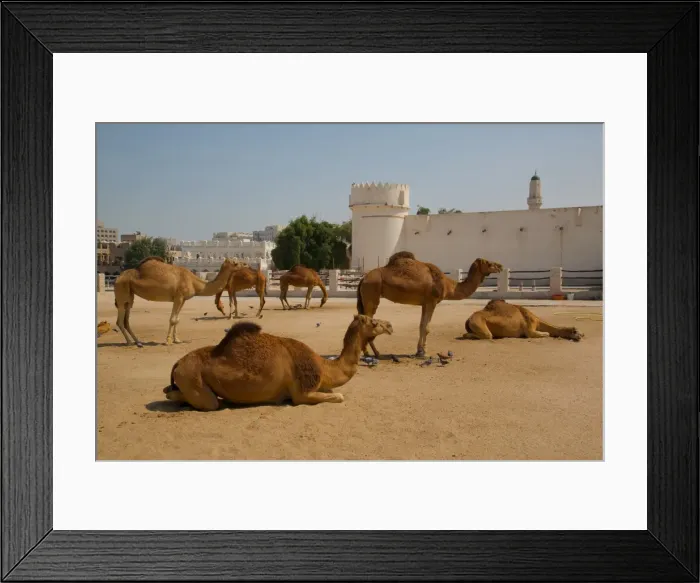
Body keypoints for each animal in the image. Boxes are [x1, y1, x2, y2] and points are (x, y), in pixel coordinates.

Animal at [114, 257, 244, 347]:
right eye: (236, 263)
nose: (245, 264)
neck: (194, 282)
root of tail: (117, 278)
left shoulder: (183, 299)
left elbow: (177, 319)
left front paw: (177, 339)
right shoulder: (178, 297)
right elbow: (172, 319)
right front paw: (168, 341)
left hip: (130, 297)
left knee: (126, 319)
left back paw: (138, 341)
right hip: (121, 292)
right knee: (120, 320)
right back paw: (129, 342)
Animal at [162, 314, 393, 411]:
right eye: (374, 322)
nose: (390, 325)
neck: (323, 365)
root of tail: (177, 364)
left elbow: (332, 392)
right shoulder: (302, 393)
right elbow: (339, 396)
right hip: (193, 379)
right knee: (208, 402)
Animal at [356, 251, 503, 357]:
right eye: (488, 263)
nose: (500, 266)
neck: (448, 285)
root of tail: (363, 278)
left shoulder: (425, 303)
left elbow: (421, 326)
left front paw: (419, 351)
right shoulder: (432, 301)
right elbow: (427, 327)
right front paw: (424, 353)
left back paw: (373, 352)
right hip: (372, 295)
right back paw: (370, 353)